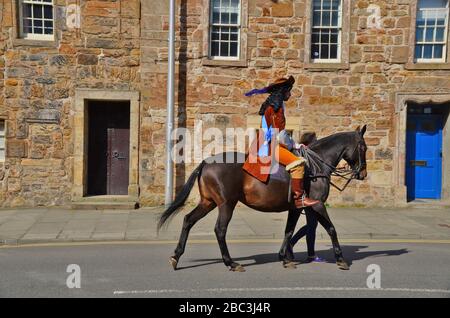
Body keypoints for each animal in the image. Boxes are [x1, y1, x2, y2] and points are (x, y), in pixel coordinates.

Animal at [156, 125, 368, 272]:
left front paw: (285, 257)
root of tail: (206, 163)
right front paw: (341, 259)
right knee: (220, 230)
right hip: (226, 203)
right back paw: (231, 263)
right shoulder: (317, 205)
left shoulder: (297, 207)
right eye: (364, 147)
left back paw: (176, 257)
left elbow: (289, 231)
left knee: (188, 220)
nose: (363, 173)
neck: (316, 165)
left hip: (208, 202)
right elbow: (331, 229)